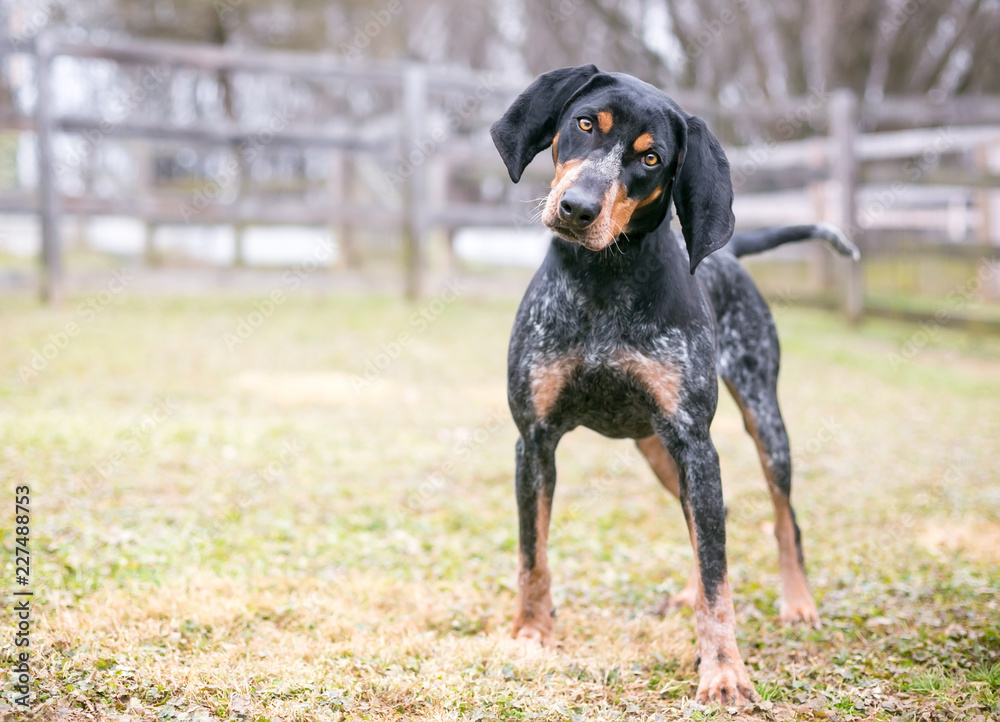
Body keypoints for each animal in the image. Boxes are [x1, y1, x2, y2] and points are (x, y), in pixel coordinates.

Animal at [488, 67, 856, 704]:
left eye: (651, 158)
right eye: (585, 124)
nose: (577, 208)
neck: (602, 280)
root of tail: (731, 254)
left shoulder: (695, 443)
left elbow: (719, 576)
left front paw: (724, 670)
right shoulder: (533, 442)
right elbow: (533, 554)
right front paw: (532, 633)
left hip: (762, 424)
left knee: (781, 518)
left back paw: (798, 602)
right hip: (657, 450)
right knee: (710, 521)